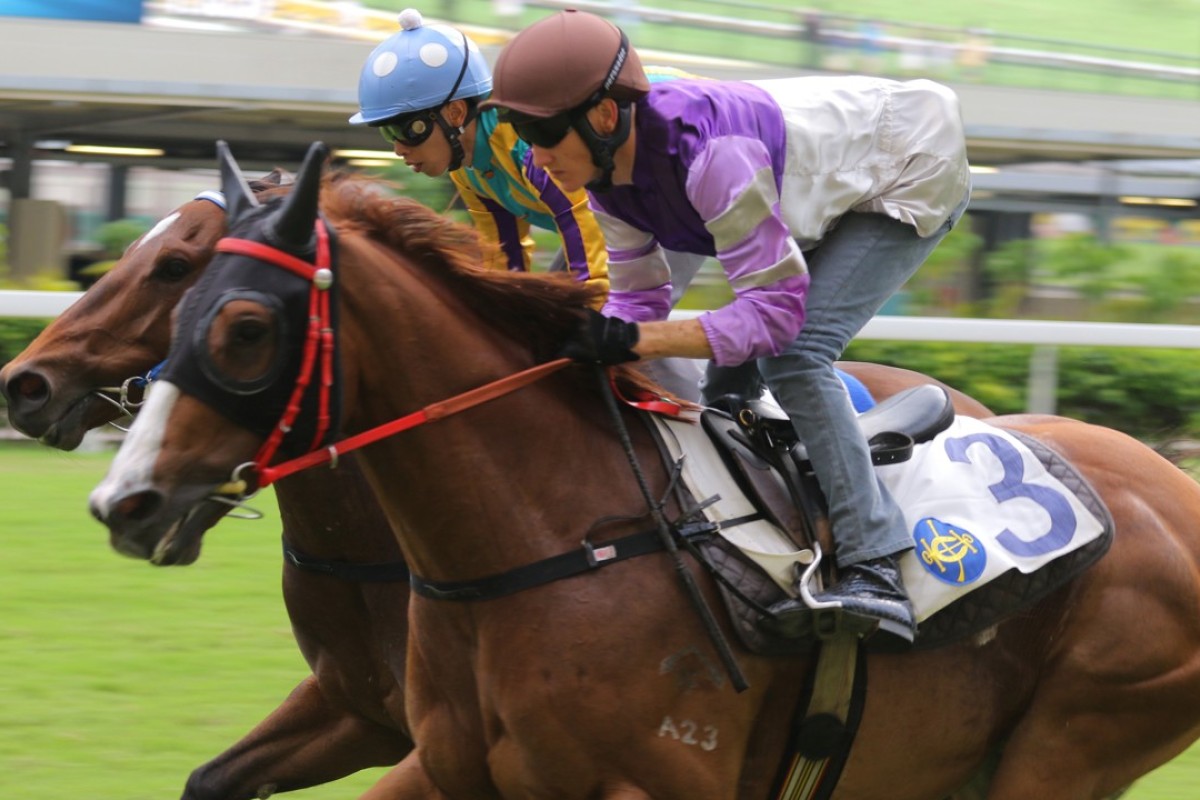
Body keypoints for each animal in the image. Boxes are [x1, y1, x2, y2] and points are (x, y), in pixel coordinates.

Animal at [88, 140, 1200, 796]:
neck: (548, 542)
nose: (122, 500)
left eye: (241, 324)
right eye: (180, 295)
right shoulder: (432, 756)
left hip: (1070, 740)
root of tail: (1176, 492)